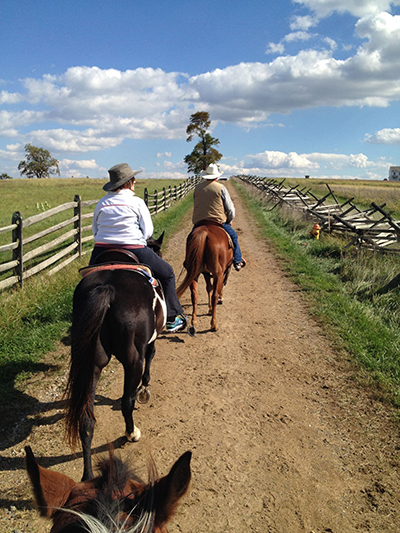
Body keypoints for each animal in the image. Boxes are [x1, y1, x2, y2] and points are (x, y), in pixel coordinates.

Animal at [65, 235, 166, 480]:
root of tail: (108, 289)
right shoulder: (151, 342)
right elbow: (150, 359)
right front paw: (144, 390)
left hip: (91, 364)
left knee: (86, 419)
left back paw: (88, 477)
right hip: (132, 361)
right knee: (126, 402)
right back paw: (132, 433)